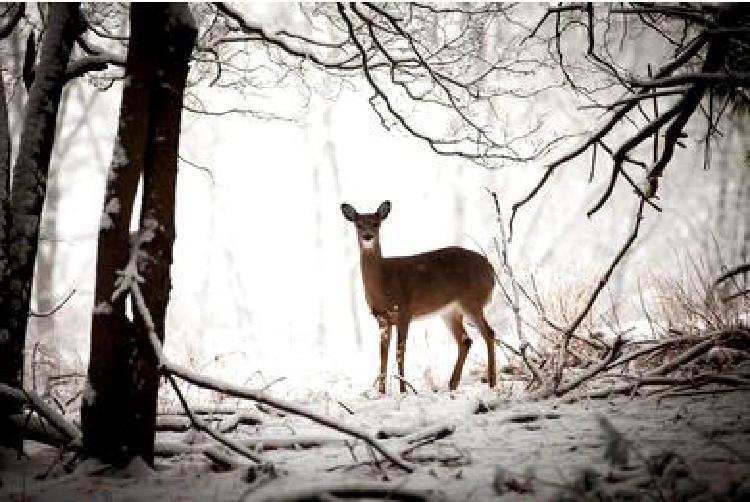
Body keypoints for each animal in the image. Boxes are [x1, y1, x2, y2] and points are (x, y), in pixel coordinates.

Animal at [342, 200, 500, 392]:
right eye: (358, 224)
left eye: (376, 223)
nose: (367, 236)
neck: (383, 281)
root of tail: (490, 268)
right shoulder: (381, 318)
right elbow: (383, 356)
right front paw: (381, 392)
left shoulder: (404, 312)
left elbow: (400, 353)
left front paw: (403, 390)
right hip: (450, 311)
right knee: (465, 340)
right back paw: (452, 385)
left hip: (472, 301)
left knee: (489, 333)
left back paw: (492, 383)